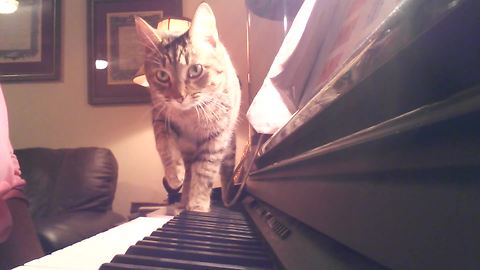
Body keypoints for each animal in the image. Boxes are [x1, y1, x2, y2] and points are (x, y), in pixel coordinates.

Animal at [134, 3, 240, 212]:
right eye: (162, 75)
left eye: (195, 70)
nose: (179, 97)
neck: (190, 115)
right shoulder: (160, 116)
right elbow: (165, 145)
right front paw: (174, 174)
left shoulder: (216, 138)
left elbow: (205, 171)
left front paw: (198, 205)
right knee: (190, 170)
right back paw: (182, 199)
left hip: (229, 146)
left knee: (225, 172)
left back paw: (225, 199)